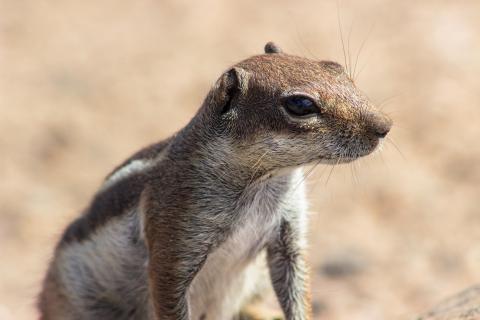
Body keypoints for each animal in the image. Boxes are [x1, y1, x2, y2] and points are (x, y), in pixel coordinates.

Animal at [37, 42, 390, 320]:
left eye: (335, 68)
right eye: (300, 104)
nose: (385, 126)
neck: (265, 180)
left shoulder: (289, 230)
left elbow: (296, 286)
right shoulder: (173, 236)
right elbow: (169, 291)